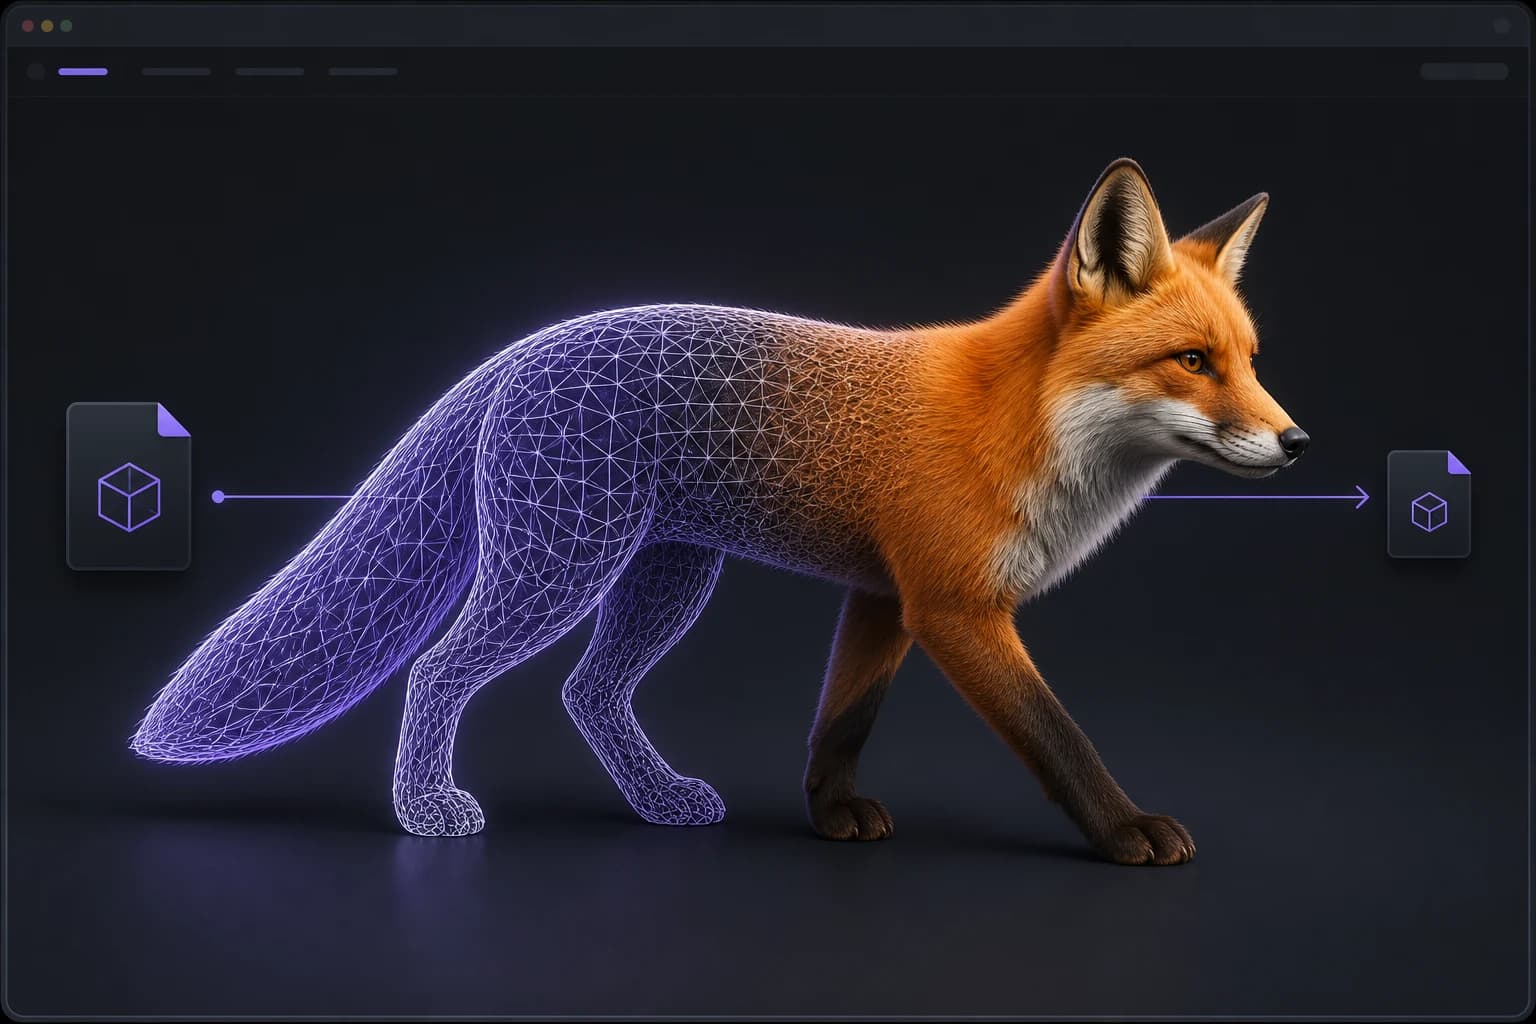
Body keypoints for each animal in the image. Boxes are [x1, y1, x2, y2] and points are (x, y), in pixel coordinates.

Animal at [131, 158, 1307, 865]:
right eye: (1191, 362)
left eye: (1252, 361)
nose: (1297, 443)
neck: (1026, 430)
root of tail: (520, 351)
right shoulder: (955, 607)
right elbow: (1057, 735)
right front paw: (1125, 828)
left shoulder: (883, 599)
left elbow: (840, 723)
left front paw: (830, 816)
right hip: (563, 567)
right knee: (440, 671)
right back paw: (428, 813)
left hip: (664, 577)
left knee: (589, 693)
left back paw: (657, 802)